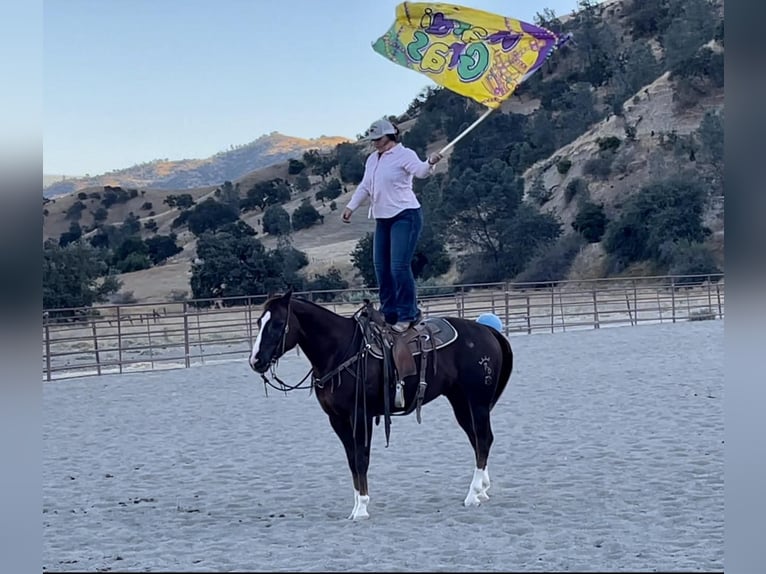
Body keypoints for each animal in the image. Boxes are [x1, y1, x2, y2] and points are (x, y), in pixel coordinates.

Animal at [250, 292, 516, 520]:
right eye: (259, 322)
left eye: (278, 323)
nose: (256, 361)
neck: (340, 350)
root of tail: (487, 330)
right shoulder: (337, 419)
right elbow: (351, 461)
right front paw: (356, 505)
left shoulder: (360, 415)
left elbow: (361, 459)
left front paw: (361, 509)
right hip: (461, 402)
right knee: (477, 440)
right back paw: (482, 490)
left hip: (477, 401)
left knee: (483, 439)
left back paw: (472, 494)